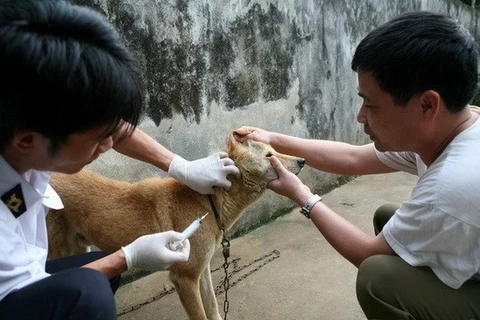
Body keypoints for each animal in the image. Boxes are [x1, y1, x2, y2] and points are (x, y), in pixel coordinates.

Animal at [46, 130, 304, 320]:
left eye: (276, 151)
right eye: (269, 155)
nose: (302, 159)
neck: (209, 200)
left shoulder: (202, 271)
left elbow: (213, 307)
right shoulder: (185, 278)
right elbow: (200, 315)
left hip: (80, 246)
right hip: (57, 252)